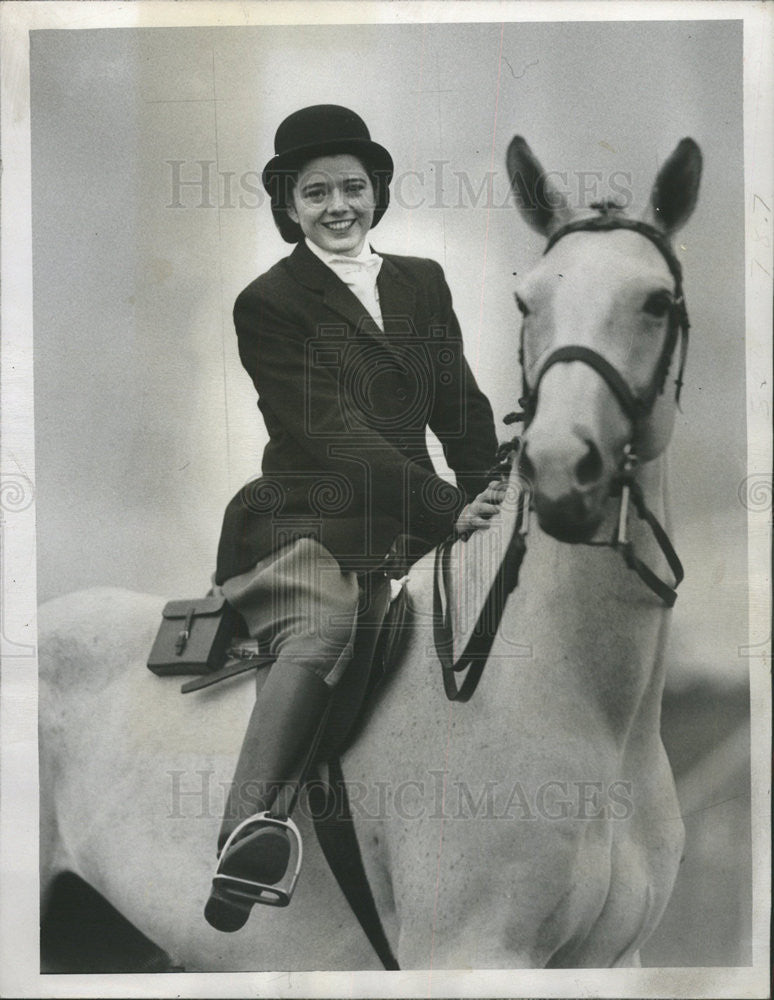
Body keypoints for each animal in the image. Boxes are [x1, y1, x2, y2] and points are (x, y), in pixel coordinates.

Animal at [38, 137, 704, 972]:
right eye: (527, 303)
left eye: (656, 302)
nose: (559, 469)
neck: (593, 704)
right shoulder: (469, 950)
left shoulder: (611, 960)